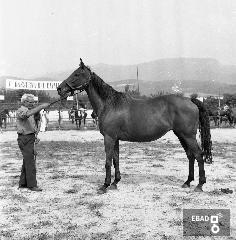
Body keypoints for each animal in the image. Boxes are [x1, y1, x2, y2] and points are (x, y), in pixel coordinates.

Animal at [57, 59, 212, 194]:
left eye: (77, 74)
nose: (59, 88)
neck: (109, 104)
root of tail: (190, 100)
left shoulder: (109, 138)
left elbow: (108, 161)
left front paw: (105, 185)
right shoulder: (115, 139)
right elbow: (116, 160)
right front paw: (115, 183)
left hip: (188, 136)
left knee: (198, 155)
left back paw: (199, 185)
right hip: (181, 135)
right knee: (191, 156)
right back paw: (187, 182)